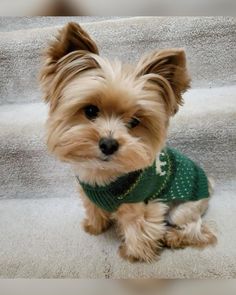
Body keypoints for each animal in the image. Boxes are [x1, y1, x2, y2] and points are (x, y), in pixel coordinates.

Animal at [39, 23, 217, 264]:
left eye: (134, 122)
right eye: (90, 110)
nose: (108, 144)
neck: (104, 175)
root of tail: (209, 186)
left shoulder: (143, 206)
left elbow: (137, 229)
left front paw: (133, 254)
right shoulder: (89, 194)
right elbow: (94, 209)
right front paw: (95, 227)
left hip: (182, 208)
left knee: (198, 229)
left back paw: (174, 237)